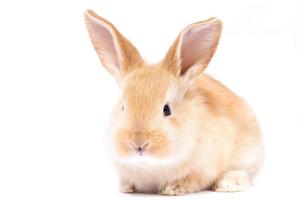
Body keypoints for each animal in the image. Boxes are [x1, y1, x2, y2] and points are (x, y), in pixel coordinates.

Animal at [84, 9, 262, 195]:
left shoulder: (205, 167)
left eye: (167, 109)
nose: (138, 143)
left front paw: (173, 188)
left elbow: (194, 180)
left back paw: (226, 184)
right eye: (123, 107)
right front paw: (126, 187)